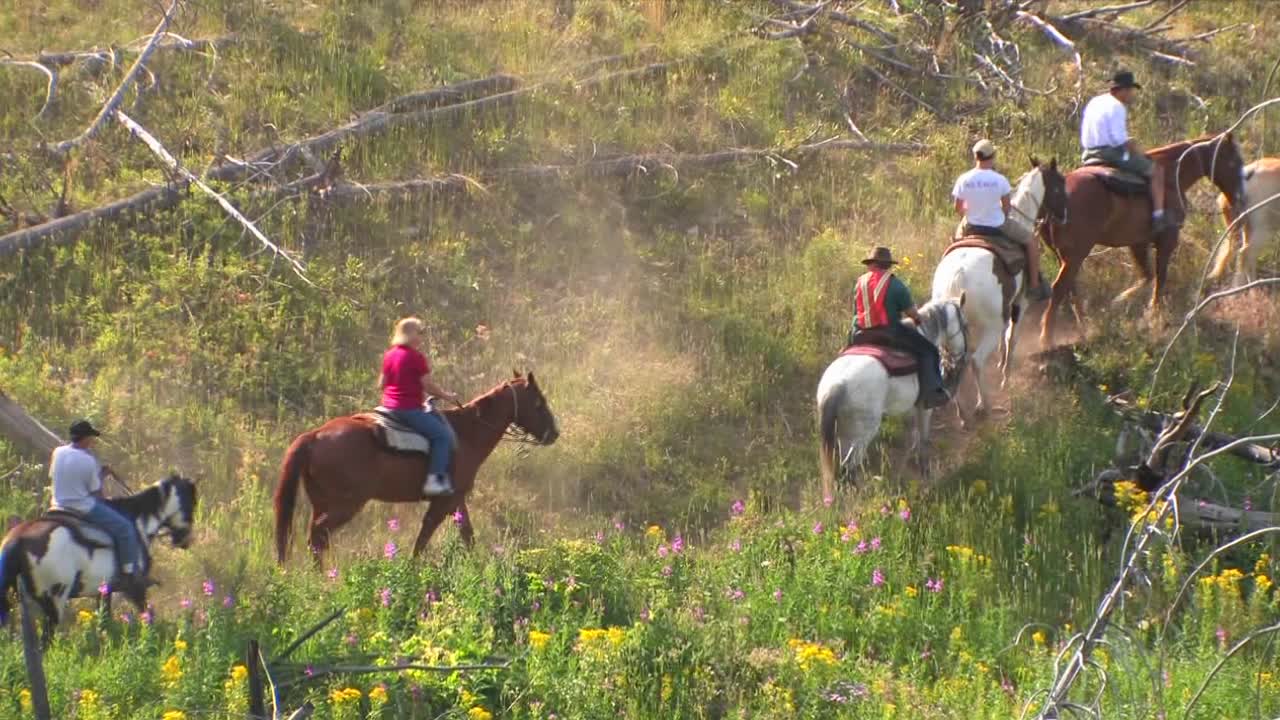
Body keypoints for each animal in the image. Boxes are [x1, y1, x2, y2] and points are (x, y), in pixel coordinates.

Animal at [0, 474, 198, 640]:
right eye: (191, 504)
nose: (185, 540)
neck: (139, 523)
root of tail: (18, 540)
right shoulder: (134, 589)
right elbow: (147, 614)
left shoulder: (104, 591)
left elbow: (105, 622)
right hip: (53, 603)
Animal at [274, 372, 559, 563]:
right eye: (538, 402)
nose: (553, 434)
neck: (466, 432)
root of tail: (314, 436)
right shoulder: (443, 502)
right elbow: (424, 538)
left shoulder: (456, 499)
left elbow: (467, 535)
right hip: (346, 504)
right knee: (318, 535)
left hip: (322, 502)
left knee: (317, 540)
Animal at [816, 297, 969, 498]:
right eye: (965, 325)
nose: (962, 357)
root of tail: (837, 385)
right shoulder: (925, 408)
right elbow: (923, 438)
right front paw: (925, 469)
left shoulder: (912, 407)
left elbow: (912, 435)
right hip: (862, 434)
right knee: (848, 467)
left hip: (845, 430)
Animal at [933, 158, 1067, 422]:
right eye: (1060, 186)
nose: (1064, 216)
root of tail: (958, 276)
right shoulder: (1020, 304)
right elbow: (1011, 338)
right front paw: (1006, 376)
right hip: (990, 326)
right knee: (976, 361)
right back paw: (982, 405)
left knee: (953, 362)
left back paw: (962, 412)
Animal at [1040, 133, 1246, 348]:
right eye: (1235, 162)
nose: (1239, 198)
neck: (1172, 176)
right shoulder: (1168, 239)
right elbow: (1160, 278)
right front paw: (1154, 314)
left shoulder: (1137, 243)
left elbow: (1147, 276)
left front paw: (1120, 302)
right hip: (1076, 254)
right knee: (1059, 288)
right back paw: (1047, 338)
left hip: (1063, 255)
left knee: (1070, 289)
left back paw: (1085, 327)